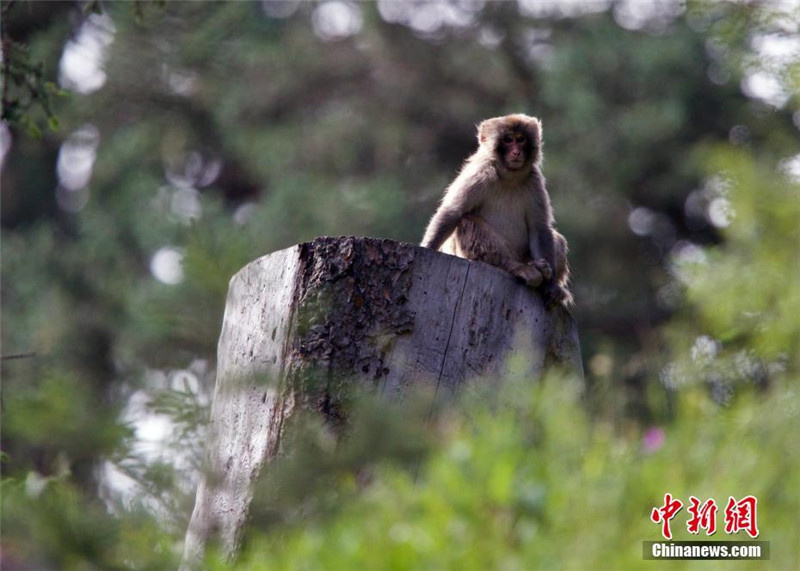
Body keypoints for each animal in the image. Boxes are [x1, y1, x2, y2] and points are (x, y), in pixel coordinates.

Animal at [422, 113, 572, 306]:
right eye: (508, 140)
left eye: (521, 140)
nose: (516, 152)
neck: (509, 177)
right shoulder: (479, 174)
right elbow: (452, 212)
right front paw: (428, 247)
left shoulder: (534, 180)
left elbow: (539, 228)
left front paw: (551, 285)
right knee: (468, 221)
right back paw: (518, 268)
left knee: (556, 239)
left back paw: (543, 271)